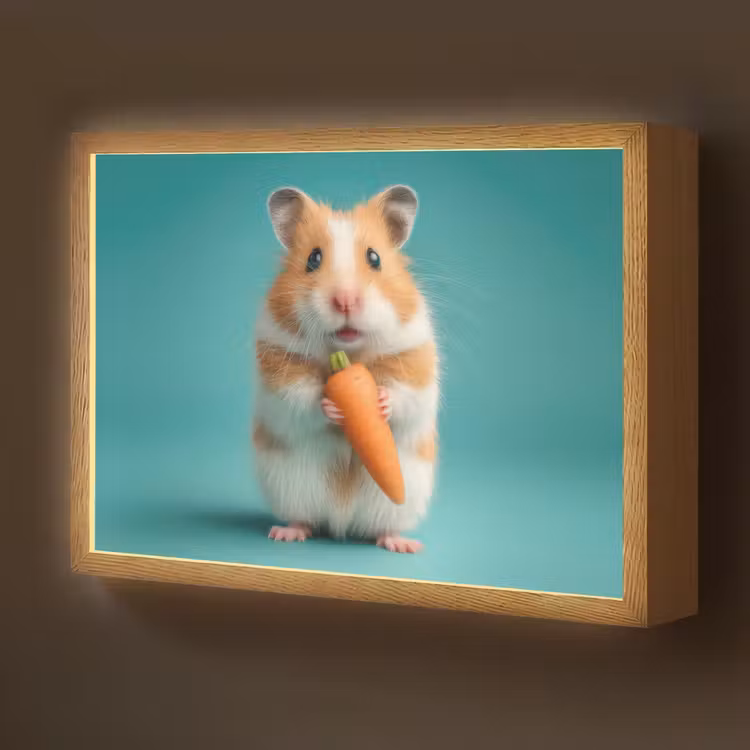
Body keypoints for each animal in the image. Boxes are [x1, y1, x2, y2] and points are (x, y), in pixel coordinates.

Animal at [252, 185, 439, 553]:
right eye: (313, 259)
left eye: (374, 258)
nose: (345, 301)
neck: (347, 357)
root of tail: (341, 523)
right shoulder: (278, 365)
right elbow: (300, 398)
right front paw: (332, 407)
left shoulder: (415, 359)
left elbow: (407, 395)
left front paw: (380, 401)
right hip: (289, 486)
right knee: (303, 518)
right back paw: (286, 533)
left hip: (399, 498)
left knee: (384, 525)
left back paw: (403, 544)